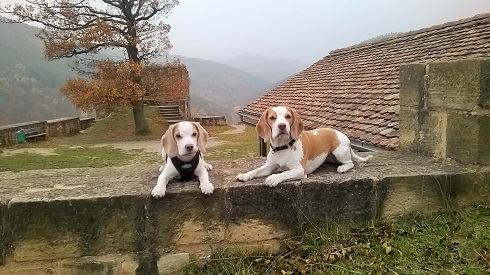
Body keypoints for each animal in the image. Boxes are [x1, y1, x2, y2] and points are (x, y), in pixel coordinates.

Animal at [236, 105, 372, 188]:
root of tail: (342, 135)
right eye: (272, 118)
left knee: (350, 163)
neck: (283, 148)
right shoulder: (268, 167)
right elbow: (255, 170)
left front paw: (274, 177)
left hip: (340, 152)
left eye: (288, 116)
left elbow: (285, 173)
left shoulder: (300, 170)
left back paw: (343, 167)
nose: (282, 126)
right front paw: (244, 175)